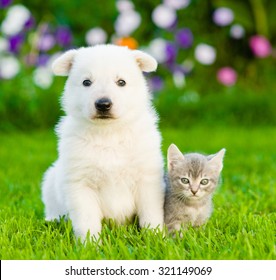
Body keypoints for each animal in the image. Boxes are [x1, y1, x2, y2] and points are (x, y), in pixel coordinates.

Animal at [42, 44, 165, 241]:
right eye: (86, 82)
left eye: (121, 82)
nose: (103, 104)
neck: (108, 133)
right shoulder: (80, 184)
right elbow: (87, 221)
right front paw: (90, 244)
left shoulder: (147, 180)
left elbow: (151, 214)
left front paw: (155, 238)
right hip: (50, 181)